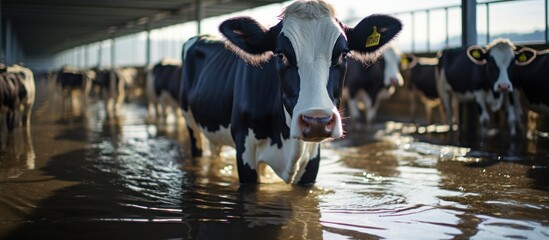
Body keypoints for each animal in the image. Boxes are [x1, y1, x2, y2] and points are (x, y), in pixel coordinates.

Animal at [182, 0, 400, 184]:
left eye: (343, 54)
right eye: (281, 55)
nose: (317, 122)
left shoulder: (312, 158)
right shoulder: (245, 149)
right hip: (190, 122)